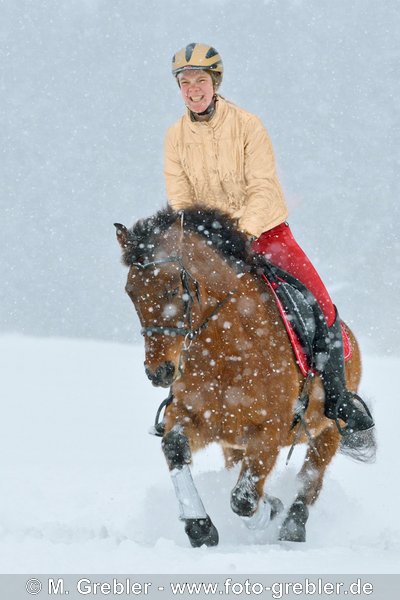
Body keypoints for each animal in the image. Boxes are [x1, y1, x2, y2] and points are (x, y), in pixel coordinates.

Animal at [115, 207, 362, 548]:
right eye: (131, 293)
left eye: (172, 287)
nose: (159, 371)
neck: (227, 351)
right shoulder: (199, 417)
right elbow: (176, 448)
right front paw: (200, 528)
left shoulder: (269, 431)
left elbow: (243, 500)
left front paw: (271, 510)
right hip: (234, 444)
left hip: (328, 431)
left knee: (311, 478)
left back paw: (292, 528)